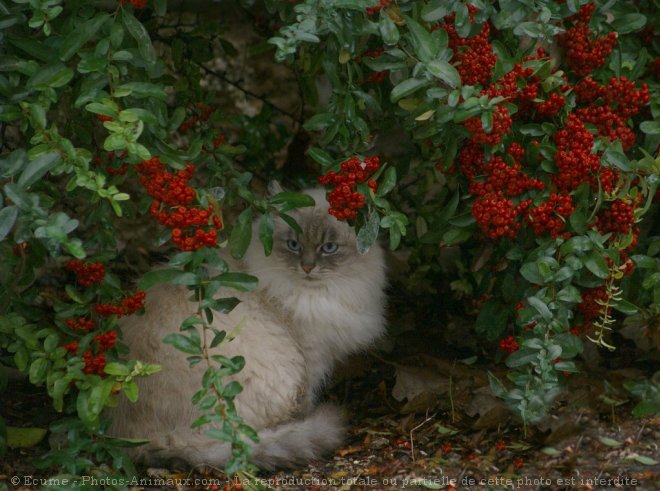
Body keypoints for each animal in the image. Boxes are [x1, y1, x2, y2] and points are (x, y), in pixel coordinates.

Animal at [108, 187, 386, 468]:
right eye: (293, 245)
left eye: (329, 248)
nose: (307, 267)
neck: (315, 295)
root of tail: (146, 438)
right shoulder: (311, 358)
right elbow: (307, 402)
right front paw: (305, 420)